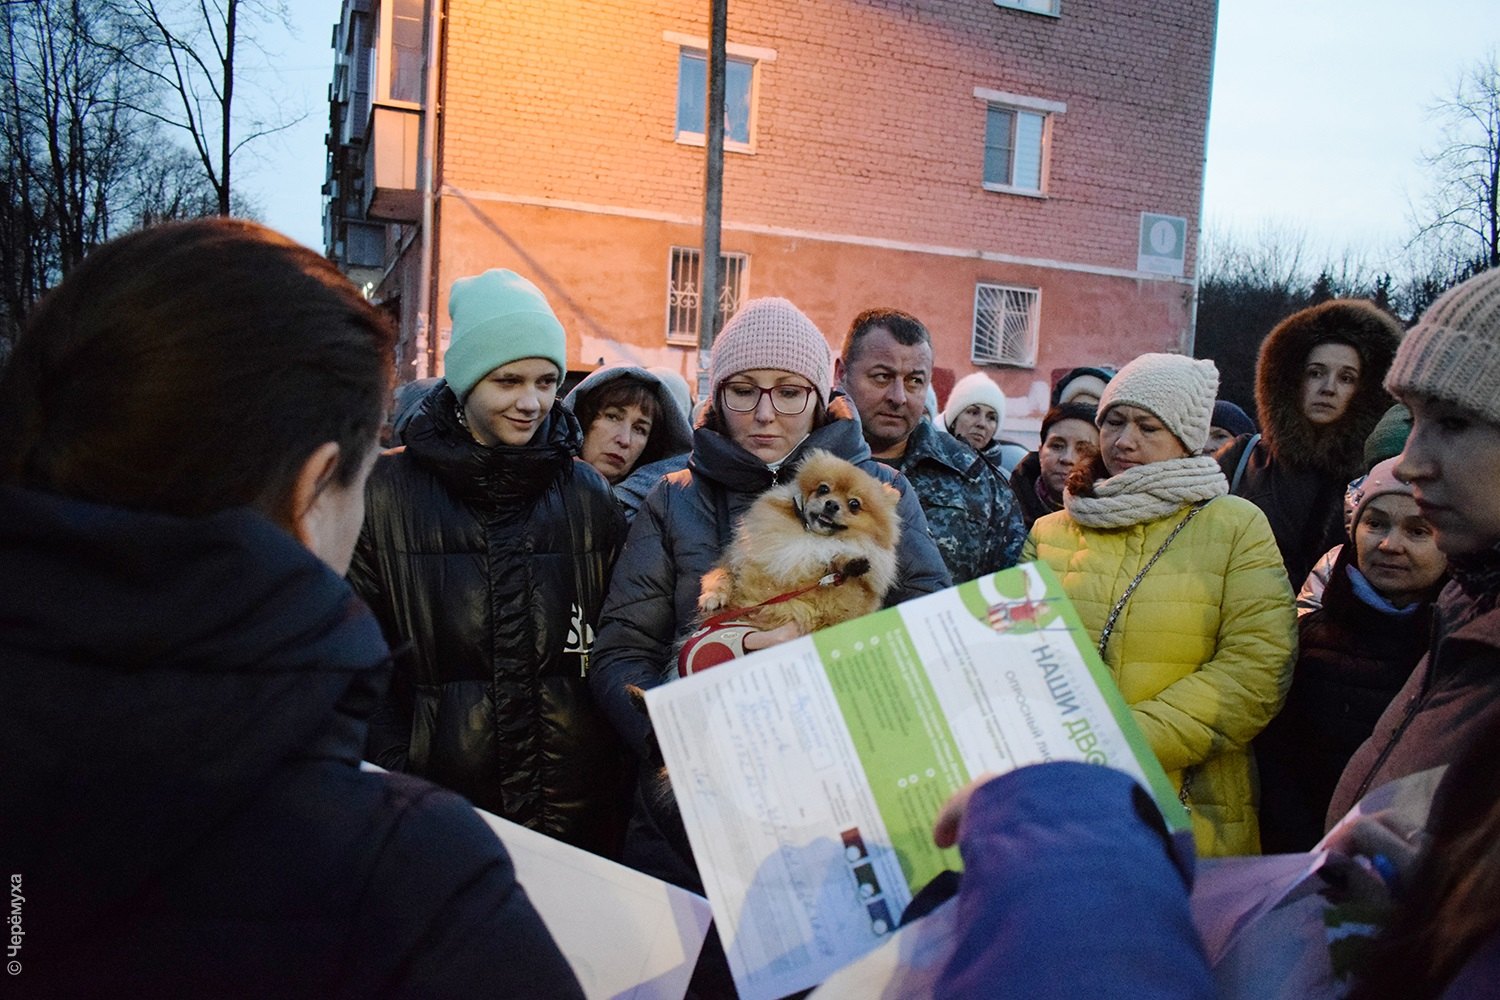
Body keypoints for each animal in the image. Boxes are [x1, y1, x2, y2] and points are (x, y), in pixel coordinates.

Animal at [693, 452, 894, 638]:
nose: (831, 504)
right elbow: (720, 575)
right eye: (823, 489)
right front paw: (712, 597)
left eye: (854, 504)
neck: (813, 538)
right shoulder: (739, 559)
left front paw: (851, 561)